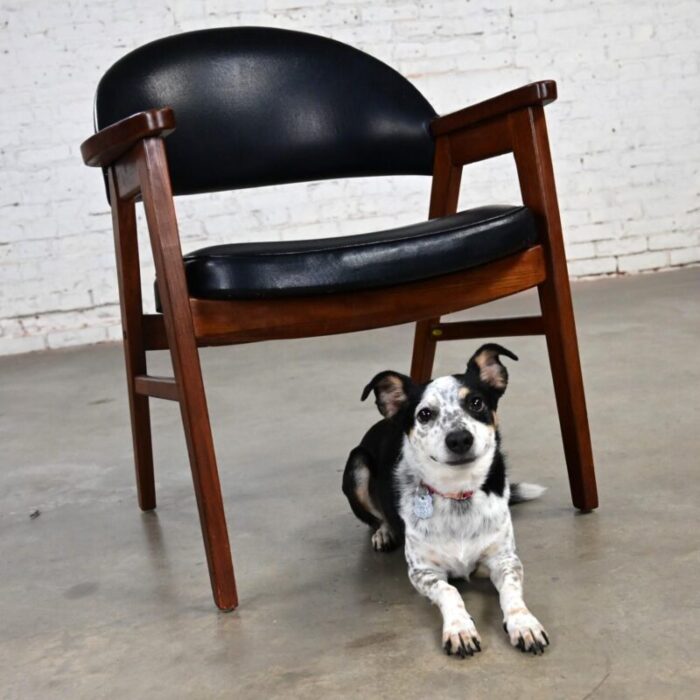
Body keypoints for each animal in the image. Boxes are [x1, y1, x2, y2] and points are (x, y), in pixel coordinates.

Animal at [342, 344, 548, 656]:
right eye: (425, 414)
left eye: (476, 402)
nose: (459, 438)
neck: (458, 494)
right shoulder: (423, 572)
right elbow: (449, 591)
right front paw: (460, 629)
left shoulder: (505, 560)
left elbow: (512, 593)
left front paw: (524, 624)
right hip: (357, 466)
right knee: (375, 517)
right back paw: (384, 532)